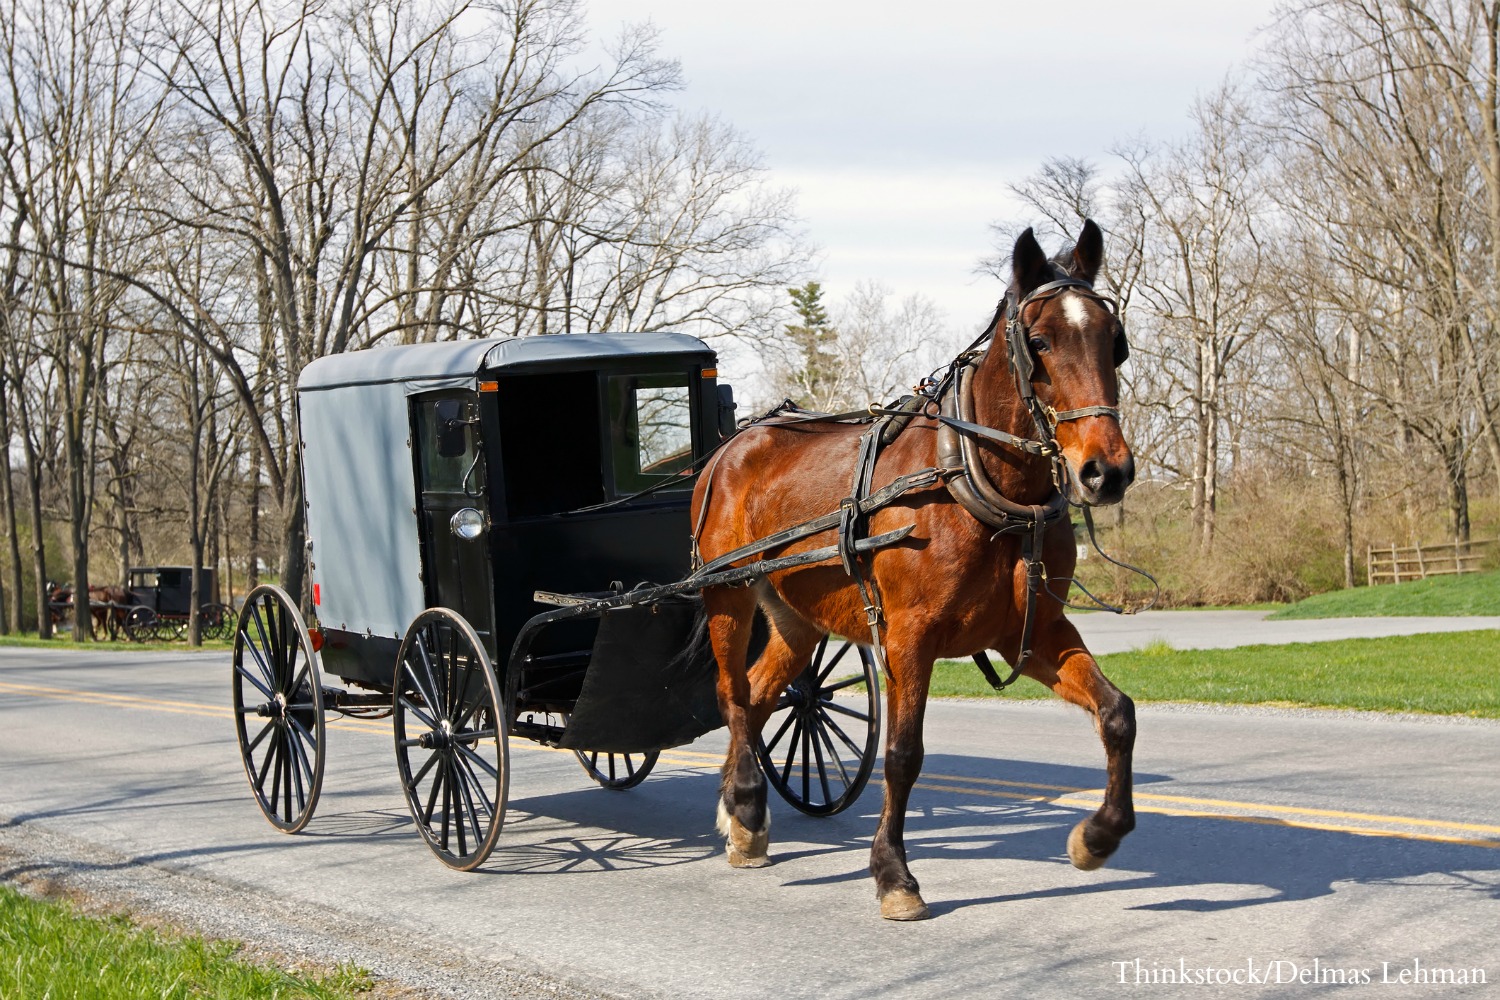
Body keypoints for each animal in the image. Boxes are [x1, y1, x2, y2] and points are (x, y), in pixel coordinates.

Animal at [690, 220, 1134, 923]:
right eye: (1039, 342)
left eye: (1114, 343)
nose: (1106, 471)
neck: (974, 482)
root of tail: (731, 446)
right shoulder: (908, 637)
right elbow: (902, 756)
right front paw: (894, 875)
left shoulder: (1032, 630)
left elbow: (1117, 713)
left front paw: (1097, 837)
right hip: (727, 595)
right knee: (732, 695)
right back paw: (747, 803)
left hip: (795, 615)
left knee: (759, 696)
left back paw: (742, 816)